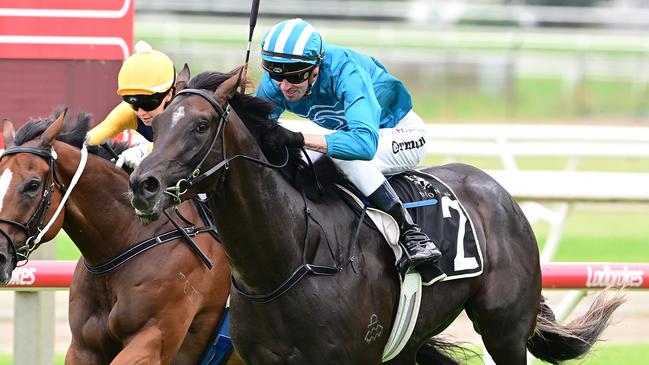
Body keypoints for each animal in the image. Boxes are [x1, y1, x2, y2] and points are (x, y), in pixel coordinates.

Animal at [128, 69, 624, 364]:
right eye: (158, 123)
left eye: (200, 126)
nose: (142, 184)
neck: (290, 257)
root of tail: (497, 190)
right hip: (410, 341)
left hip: (505, 329)